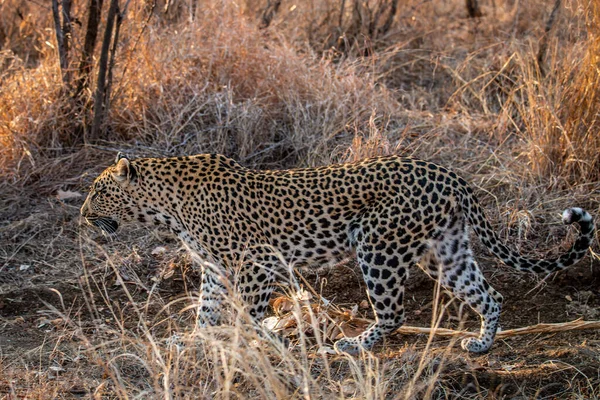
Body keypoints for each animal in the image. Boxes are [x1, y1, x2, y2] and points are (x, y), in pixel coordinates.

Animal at [81, 153, 596, 354]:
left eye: (98, 192)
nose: (83, 216)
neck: (166, 207)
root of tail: (448, 173)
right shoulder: (214, 267)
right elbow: (207, 310)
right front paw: (194, 340)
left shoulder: (254, 264)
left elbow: (248, 313)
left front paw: (258, 345)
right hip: (444, 251)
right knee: (489, 294)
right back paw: (482, 343)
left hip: (379, 247)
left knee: (393, 310)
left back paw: (354, 345)